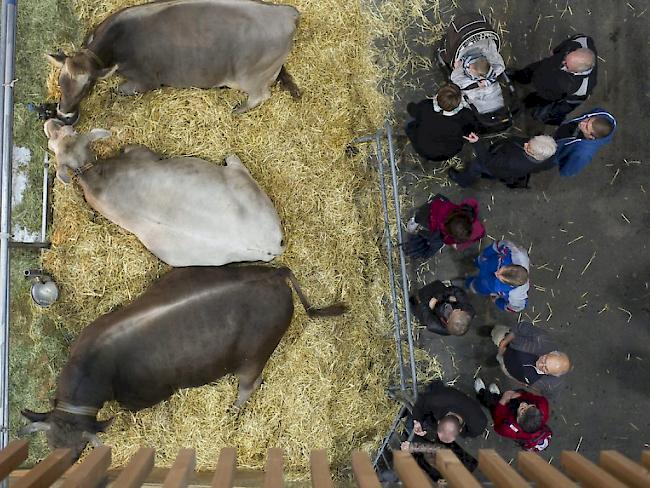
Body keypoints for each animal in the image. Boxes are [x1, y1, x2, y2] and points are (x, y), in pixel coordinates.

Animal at [20, 264, 344, 460]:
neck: (97, 364)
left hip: (255, 355)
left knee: (250, 385)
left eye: (77, 453)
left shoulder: (145, 397)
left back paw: (232, 411)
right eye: (50, 447)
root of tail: (277, 273)